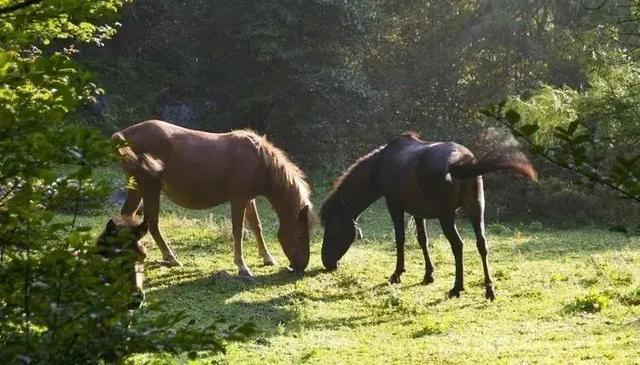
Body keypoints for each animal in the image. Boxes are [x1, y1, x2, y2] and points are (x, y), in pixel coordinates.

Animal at [112, 120, 312, 276]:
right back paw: (171, 258)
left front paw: (267, 257)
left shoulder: (249, 199)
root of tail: (124, 135)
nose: (301, 266)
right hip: (149, 187)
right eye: (302, 234)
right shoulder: (238, 199)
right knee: (152, 222)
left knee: (128, 215)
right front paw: (242, 266)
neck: (258, 160)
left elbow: (257, 226)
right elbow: (238, 231)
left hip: (138, 188)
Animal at [320, 132, 536, 298]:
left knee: (458, 245)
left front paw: (397, 274)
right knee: (482, 244)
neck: (380, 165)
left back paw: (457, 287)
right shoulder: (418, 211)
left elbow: (400, 238)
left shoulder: (394, 205)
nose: (327, 262)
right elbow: (422, 239)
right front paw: (428, 275)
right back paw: (489, 290)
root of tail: (462, 161)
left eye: (332, 227)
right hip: (476, 211)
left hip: (446, 216)